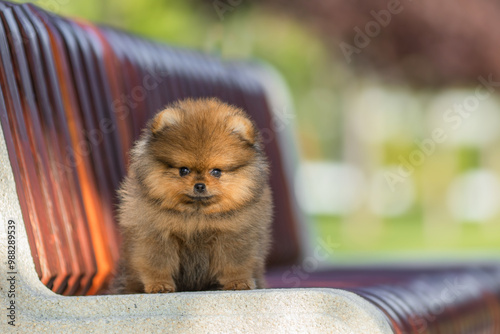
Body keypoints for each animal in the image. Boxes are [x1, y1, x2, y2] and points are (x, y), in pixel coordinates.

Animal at [111, 97, 274, 292]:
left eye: (216, 172)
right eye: (184, 170)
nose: (199, 185)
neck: (197, 217)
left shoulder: (234, 236)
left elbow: (235, 264)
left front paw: (238, 282)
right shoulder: (156, 235)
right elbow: (157, 264)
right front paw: (159, 284)